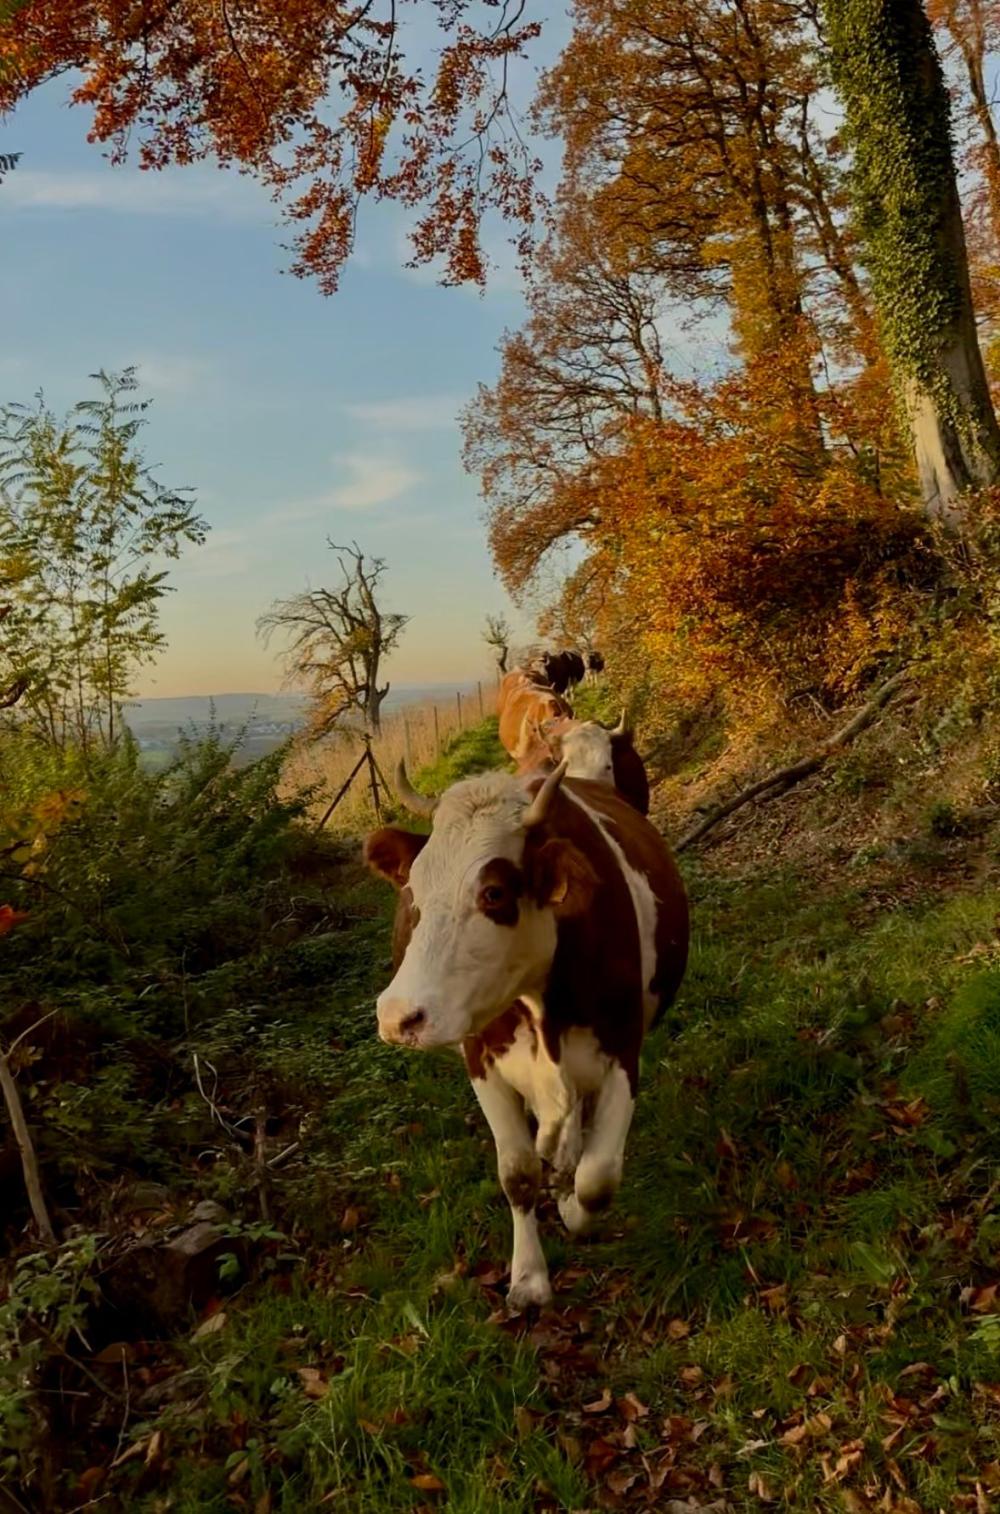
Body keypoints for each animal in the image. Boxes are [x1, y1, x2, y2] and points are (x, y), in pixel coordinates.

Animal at [365, 761, 689, 1308]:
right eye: (413, 893)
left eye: (493, 892)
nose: (398, 1017)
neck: (542, 1003)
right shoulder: (481, 1060)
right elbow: (517, 1174)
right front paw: (529, 1277)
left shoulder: (624, 1050)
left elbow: (598, 1178)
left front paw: (574, 1208)